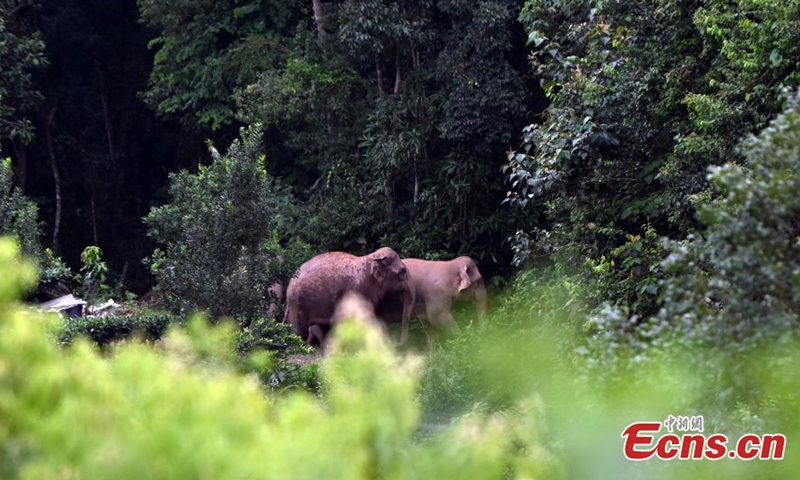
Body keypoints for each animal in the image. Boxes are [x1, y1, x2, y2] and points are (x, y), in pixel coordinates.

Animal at [284, 247, 414, 348]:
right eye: (402, 271)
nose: (396, 343)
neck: (370, 259)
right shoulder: (359, 292)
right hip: (298, 304)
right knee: (299, 331)